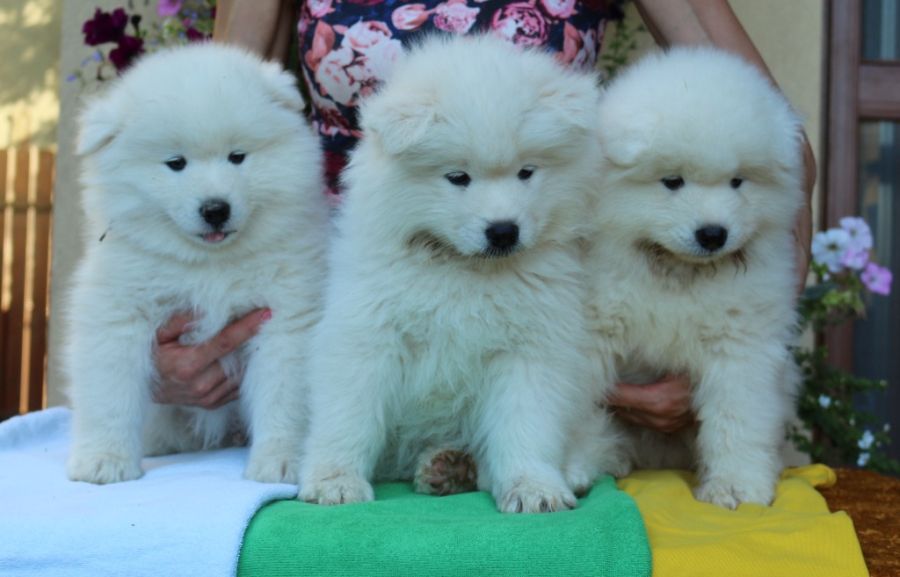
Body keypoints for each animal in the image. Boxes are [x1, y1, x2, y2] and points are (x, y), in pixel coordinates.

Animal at [65, 42, 328, 486]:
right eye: (176, 163)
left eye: (237, 156)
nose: (215, 209)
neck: (208, 265)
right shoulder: (118, 314)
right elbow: (111, 392)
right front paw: (103, 460)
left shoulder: (284, 317)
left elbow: (282, 395)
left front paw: (281, 460)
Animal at [296, 35, 620, 512]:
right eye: (457, 177)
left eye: (527, 172)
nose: (503, 231)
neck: (463, 268)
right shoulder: (368, 334)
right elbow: (349, 414)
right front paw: (335, 481)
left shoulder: (532, 348)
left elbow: (527, 424)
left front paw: (534, 487)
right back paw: (446, 466)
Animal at [584, 48, 808, 508]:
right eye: (672, 181)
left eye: (738, 181)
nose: (712, 233)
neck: (678, 271)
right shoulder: (594, 329)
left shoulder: (743, 343)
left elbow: (738, 416)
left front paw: (737, 487)